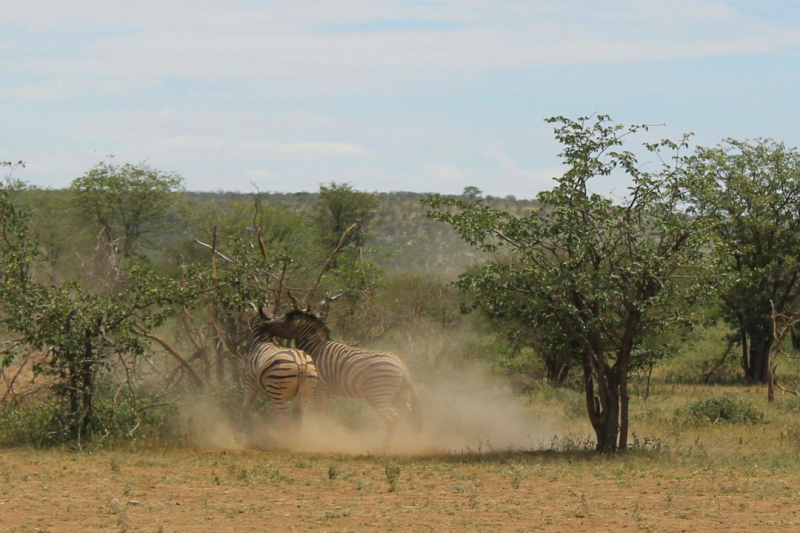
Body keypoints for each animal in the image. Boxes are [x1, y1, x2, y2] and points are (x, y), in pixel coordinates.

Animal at [262, 308, 424, 444]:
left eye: (282, 322)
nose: (264, 324)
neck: (315, 349)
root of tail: (401, 365)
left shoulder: (320, 389)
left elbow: (322, 414)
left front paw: (323, 438)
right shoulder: (326, 392)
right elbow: (326, 414)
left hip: (377, 395)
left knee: (393, 418)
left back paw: (384, 447)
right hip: (397, 395)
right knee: (409, 414)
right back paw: (410, 441)